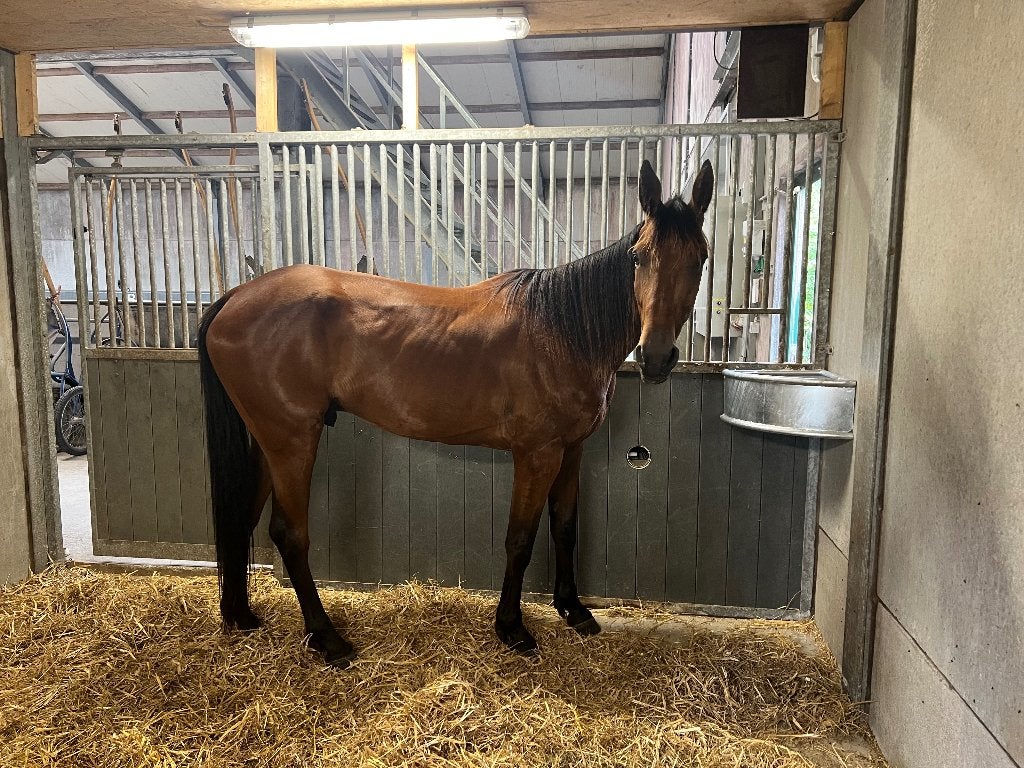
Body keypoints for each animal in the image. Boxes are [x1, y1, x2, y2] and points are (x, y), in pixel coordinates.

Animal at [197, 158, 714, 667]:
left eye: (700, 258)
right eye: (638, 257)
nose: (656, 356)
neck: (562, 331)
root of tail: (235, 297)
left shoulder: (572, 450)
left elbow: (564, 528)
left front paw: (574, 610)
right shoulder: (537, 454)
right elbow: (520, 539)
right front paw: (512, 628)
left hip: (270, 442)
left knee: (244, 518)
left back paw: (242, 616)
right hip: (293, 441)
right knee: (289, 533)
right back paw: (328, 640)